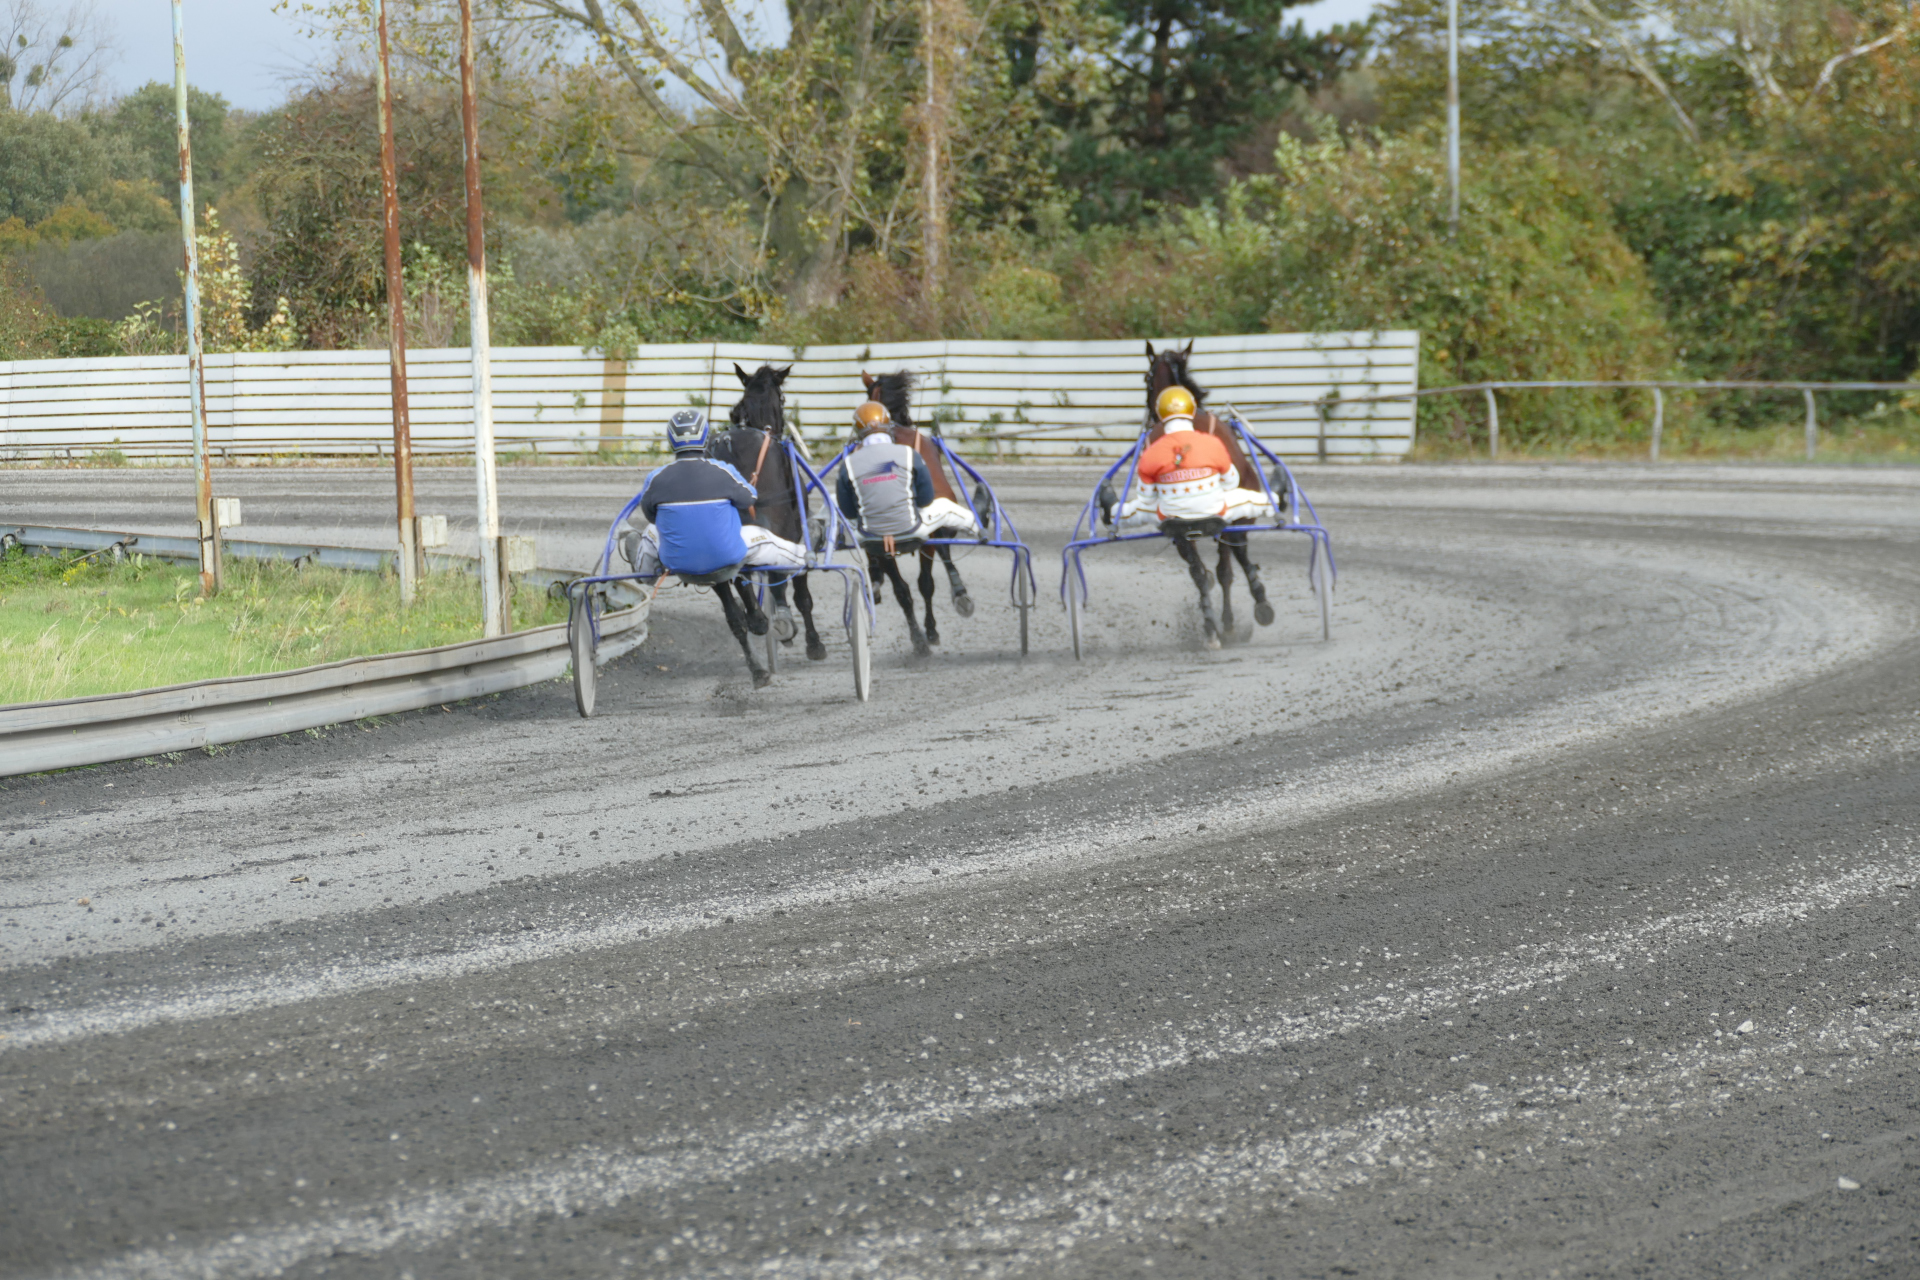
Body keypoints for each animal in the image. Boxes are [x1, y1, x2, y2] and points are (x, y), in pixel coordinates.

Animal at [1142, 341, 1279, 647]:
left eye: (1146, 379)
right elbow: (1225, 567)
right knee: (1221, 565)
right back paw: (1233, 618)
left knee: (1208, 570)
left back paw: (1217, 624)